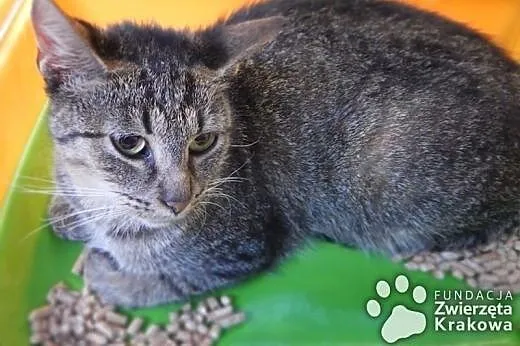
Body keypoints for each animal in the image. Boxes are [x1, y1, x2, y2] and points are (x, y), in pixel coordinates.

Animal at [31, 0, 520, 308]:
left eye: (203, 141)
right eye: (129, 144)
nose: (179, 200)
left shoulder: (247, 247)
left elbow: (166, 279)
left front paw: (104, 271)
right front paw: (68, 213)